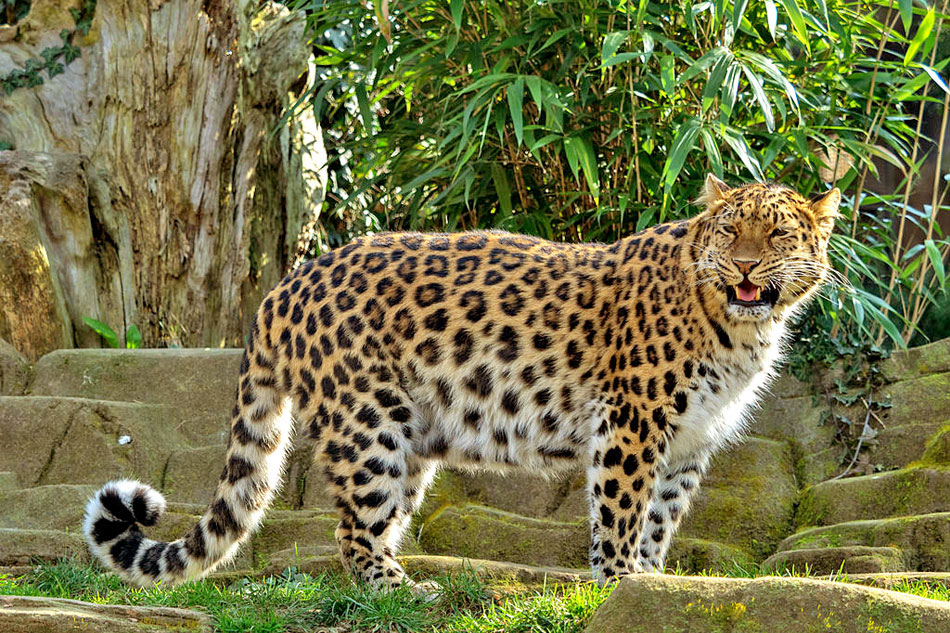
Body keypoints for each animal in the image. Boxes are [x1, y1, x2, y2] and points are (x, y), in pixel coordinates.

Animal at [82, 173, 840, 588]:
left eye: (777, 237)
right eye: (731, 231)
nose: (745, 267)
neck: (740, 328)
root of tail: (282, 287)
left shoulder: (688, 440)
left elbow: (661, 517)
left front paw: (649, 587)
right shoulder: (632, 422)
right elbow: (622, 513)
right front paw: (621, 581)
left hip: (412, 434)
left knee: (377, 522)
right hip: (367, 424)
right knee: (352, 531)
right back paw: (404, 593)